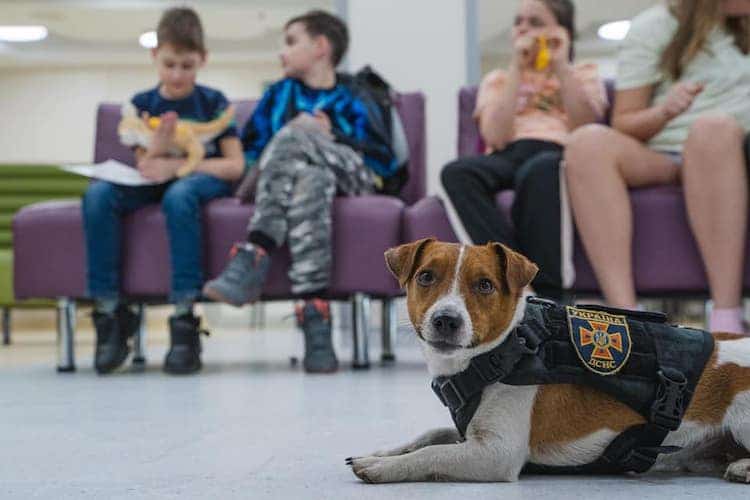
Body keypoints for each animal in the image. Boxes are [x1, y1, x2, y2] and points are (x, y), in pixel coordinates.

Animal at [350, 240, 750, 482]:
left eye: (484, 285)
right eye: (426, 277)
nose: (446, 320)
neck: (502, 353)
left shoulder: (497, 452)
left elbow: (433, 453)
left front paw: (383, 466)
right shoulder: (472, 434)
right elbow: (430, 435)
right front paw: (384, 452)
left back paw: (743, 466)